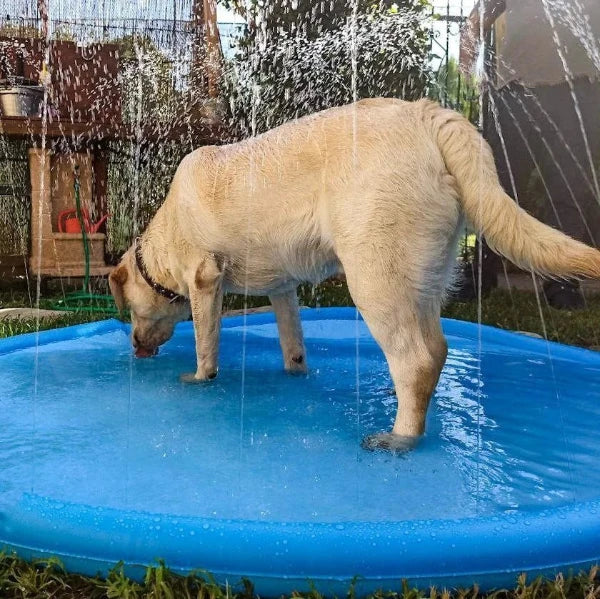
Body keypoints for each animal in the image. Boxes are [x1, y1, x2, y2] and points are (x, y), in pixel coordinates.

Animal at [110, 98, 600, 450]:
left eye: (130, 309)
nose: (134, 347)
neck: (163, 240)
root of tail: (427, 116)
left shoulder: (204, 281)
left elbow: (204, 343)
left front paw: (198, 378)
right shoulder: (283, 289)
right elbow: (292, 340)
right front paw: (296, 373)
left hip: (373, 278)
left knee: (415, 360)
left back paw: (399, 438)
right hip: (421, 277)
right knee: (437, 348)